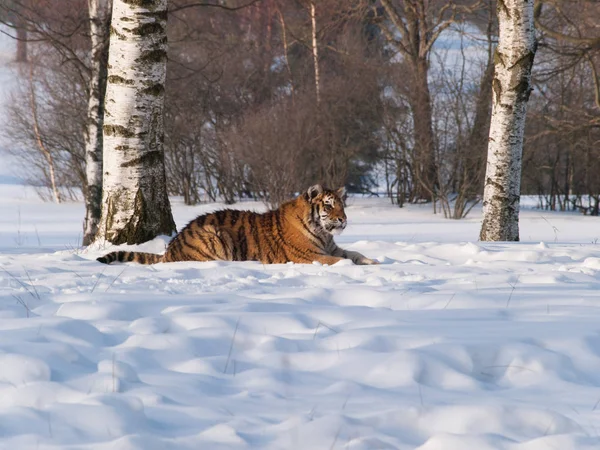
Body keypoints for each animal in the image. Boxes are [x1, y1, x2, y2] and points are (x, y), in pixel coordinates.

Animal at [97, 184, 380, 266]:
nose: (344, 219)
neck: (323, 233)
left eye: (342, 205)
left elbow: (354, 252)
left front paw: (373, 261)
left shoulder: (331, 247)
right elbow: (339, 260)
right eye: (329, 205)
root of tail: (170, 250)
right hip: (214, 236)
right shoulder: (309, 255)